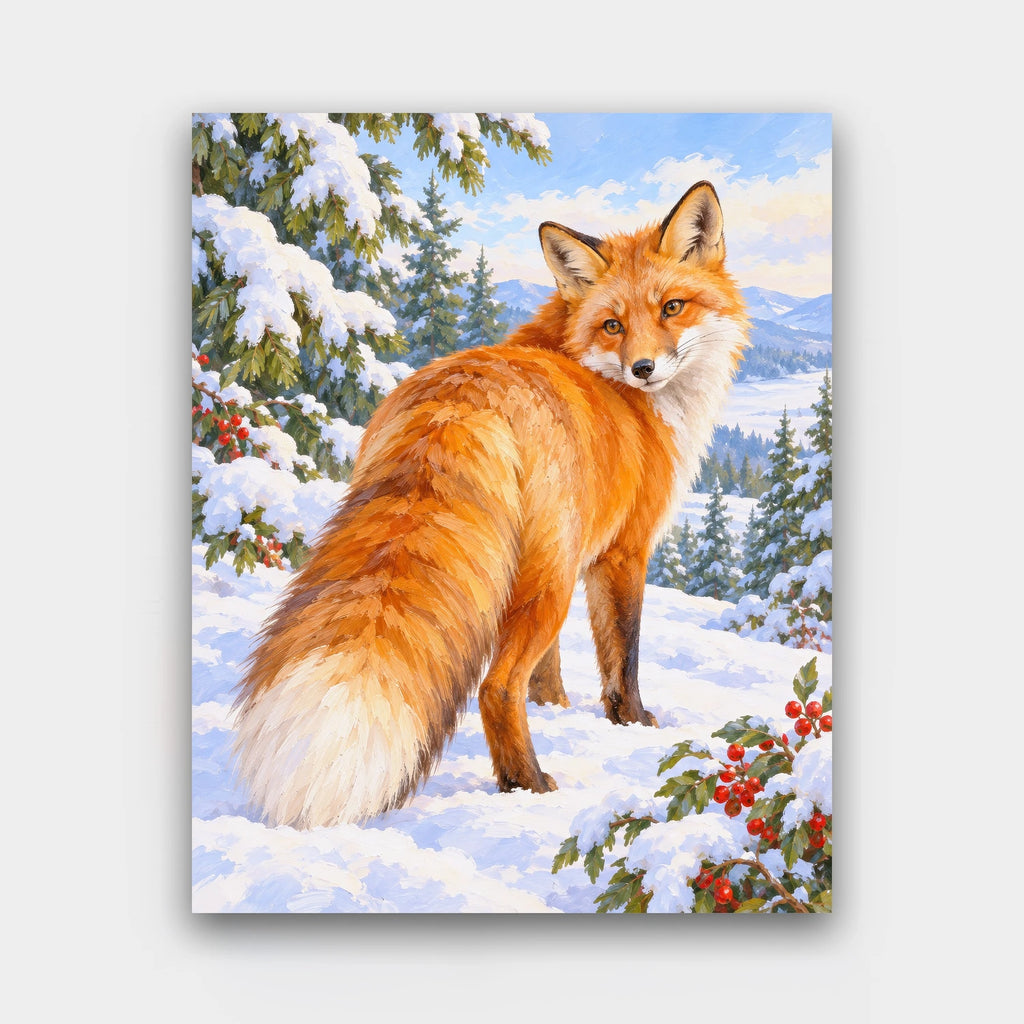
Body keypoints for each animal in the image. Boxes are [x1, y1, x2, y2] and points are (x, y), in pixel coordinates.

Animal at [232, 180, 749, 829]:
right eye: (613, 324)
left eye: (672, 308)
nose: (643, 368)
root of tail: (459, 401)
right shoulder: (622, 553)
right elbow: (622, 656)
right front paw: (632, 723)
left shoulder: (579, 556)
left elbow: (549, 669)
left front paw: (557, 708)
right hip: (550, 581)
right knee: (495, 685)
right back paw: (527, 786)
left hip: (535, 570)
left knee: (513, 674)